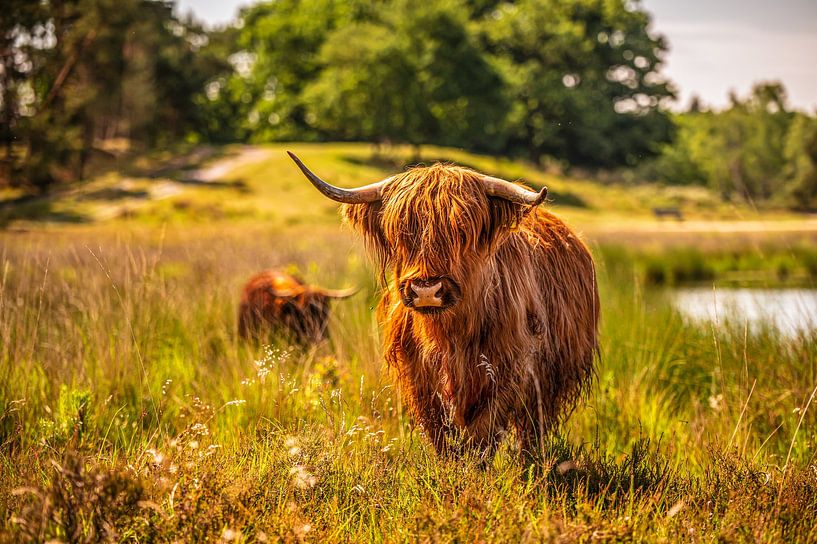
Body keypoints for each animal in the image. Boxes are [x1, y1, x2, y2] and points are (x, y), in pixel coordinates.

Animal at [288, 151, 600, 456]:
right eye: (399, 232)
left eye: (461, 231)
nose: (426, 290)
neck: (449, 334)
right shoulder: (418, 375)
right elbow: (440, 433)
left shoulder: (512, 368)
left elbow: (482, 433)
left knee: (532, 431)